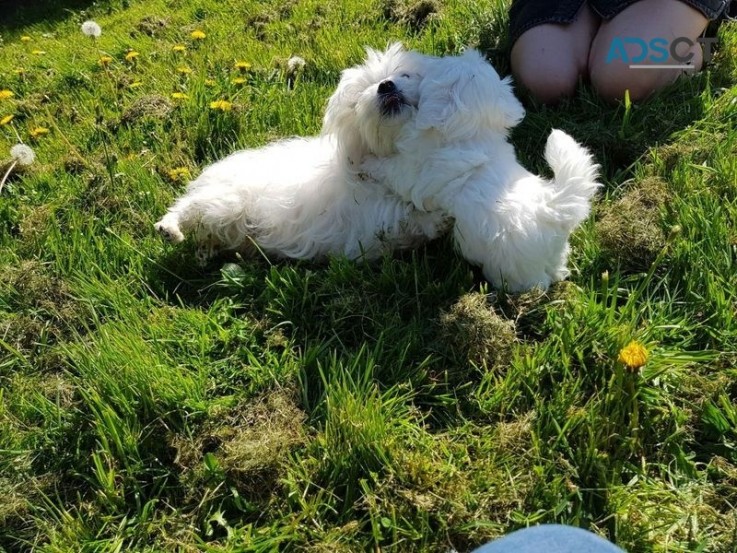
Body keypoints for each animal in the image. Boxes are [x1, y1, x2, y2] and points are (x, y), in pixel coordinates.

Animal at [152, 44, 446, 264]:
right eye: (360, 96)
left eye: (405, 75)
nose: (385, 85)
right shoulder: (374, 220)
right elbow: (411, 219)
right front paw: (439, 220)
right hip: (228, 200)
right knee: (189, 207)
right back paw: (169, 229)